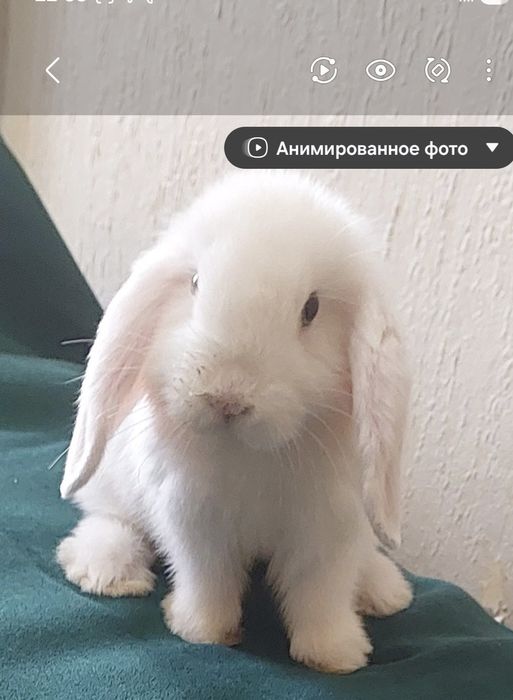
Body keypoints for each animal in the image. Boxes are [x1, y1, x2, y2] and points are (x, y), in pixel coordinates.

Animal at [56, 172, 412, 674]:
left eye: (311, 308)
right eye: (195, 283)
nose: (226, 399)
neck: (252, 454)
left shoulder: (329, 530)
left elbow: (319, 595)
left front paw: (335, 656)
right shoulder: (196, 521)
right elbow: (209, 579)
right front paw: (203, 632)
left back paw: (385, 591)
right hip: (112, 487)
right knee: (109, 519)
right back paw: (106, 572)